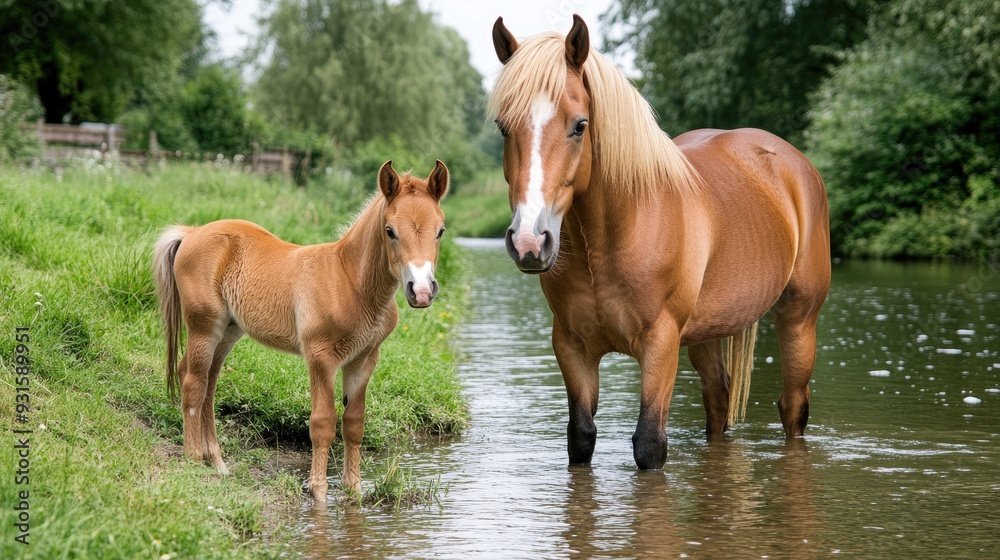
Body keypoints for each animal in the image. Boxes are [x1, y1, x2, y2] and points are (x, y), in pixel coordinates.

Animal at [152, 160, 449, 500]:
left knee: (206, 385)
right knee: (193, 383)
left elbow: (354, 423)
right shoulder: (320, 357)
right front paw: (318, 491)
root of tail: (191, 233)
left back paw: (217, 463)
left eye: (440, 230)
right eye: (390, 231)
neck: (351, 282)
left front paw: (353, 491)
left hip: (228, 331)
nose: (422, 292)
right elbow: (322, 423)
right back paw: (192, 459)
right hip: (204, 326)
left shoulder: (364, 360)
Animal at [488, 15, 830, 470]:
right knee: (718, 399)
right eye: (503, 128)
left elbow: (650, 443)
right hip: (708, 333)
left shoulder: (660, 345)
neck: (612, 239)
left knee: (793, 407)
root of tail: (795, 162)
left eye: (580, 125)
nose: (529, 241)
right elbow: (581, 437)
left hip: (799, 319)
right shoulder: (572, 346)